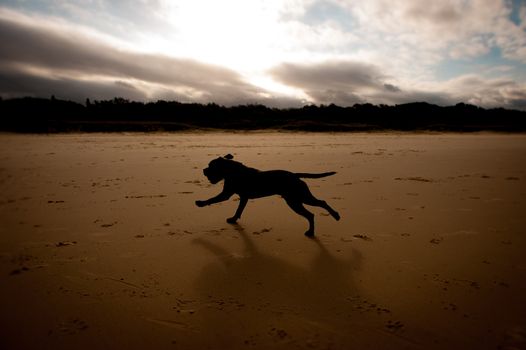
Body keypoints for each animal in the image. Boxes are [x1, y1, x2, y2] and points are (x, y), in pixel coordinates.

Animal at [196, 154, 340, 238]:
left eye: (211, 166)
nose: (203, 170)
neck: (232, 171)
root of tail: (295, 175)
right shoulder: (243, 197)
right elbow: (239, 210)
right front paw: (234, 219)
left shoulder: (226, 194)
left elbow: (213, 199)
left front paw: (200, 203)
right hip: (296, 199)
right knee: (317, 207)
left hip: (297, 199)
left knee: (316, 209)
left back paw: (326, 222)